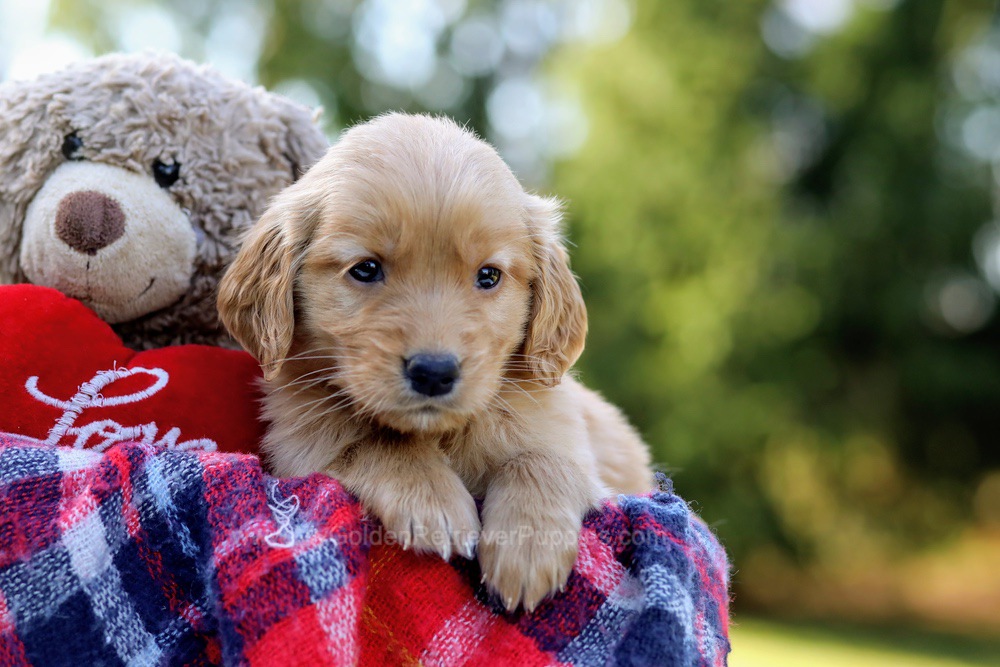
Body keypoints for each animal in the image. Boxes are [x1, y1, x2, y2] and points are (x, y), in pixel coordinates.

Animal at [218, 113, 652, 612]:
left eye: (489, 276)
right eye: (365, 269)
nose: (434, 372)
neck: (442, 433)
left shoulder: (569, 443)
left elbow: (541, 460)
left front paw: (527, 549)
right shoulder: (299, 444)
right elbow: (375, 440)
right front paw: (432, 499)